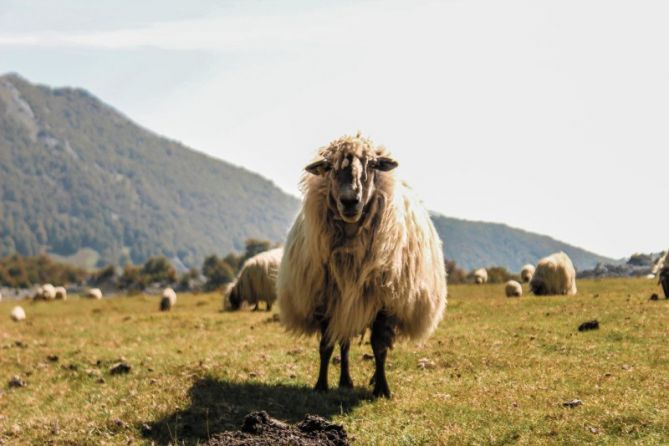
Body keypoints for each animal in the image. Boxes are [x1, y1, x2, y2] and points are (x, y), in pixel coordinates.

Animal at [276, 132, 448, 398]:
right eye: (329, 167)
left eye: (372, 164)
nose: (349, 201)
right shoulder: (325, 298)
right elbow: (326, 346)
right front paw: (321, 385)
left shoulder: (386, 300)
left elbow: (379, 348)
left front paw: (382, 389)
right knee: (344, 343)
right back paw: (345, 380)